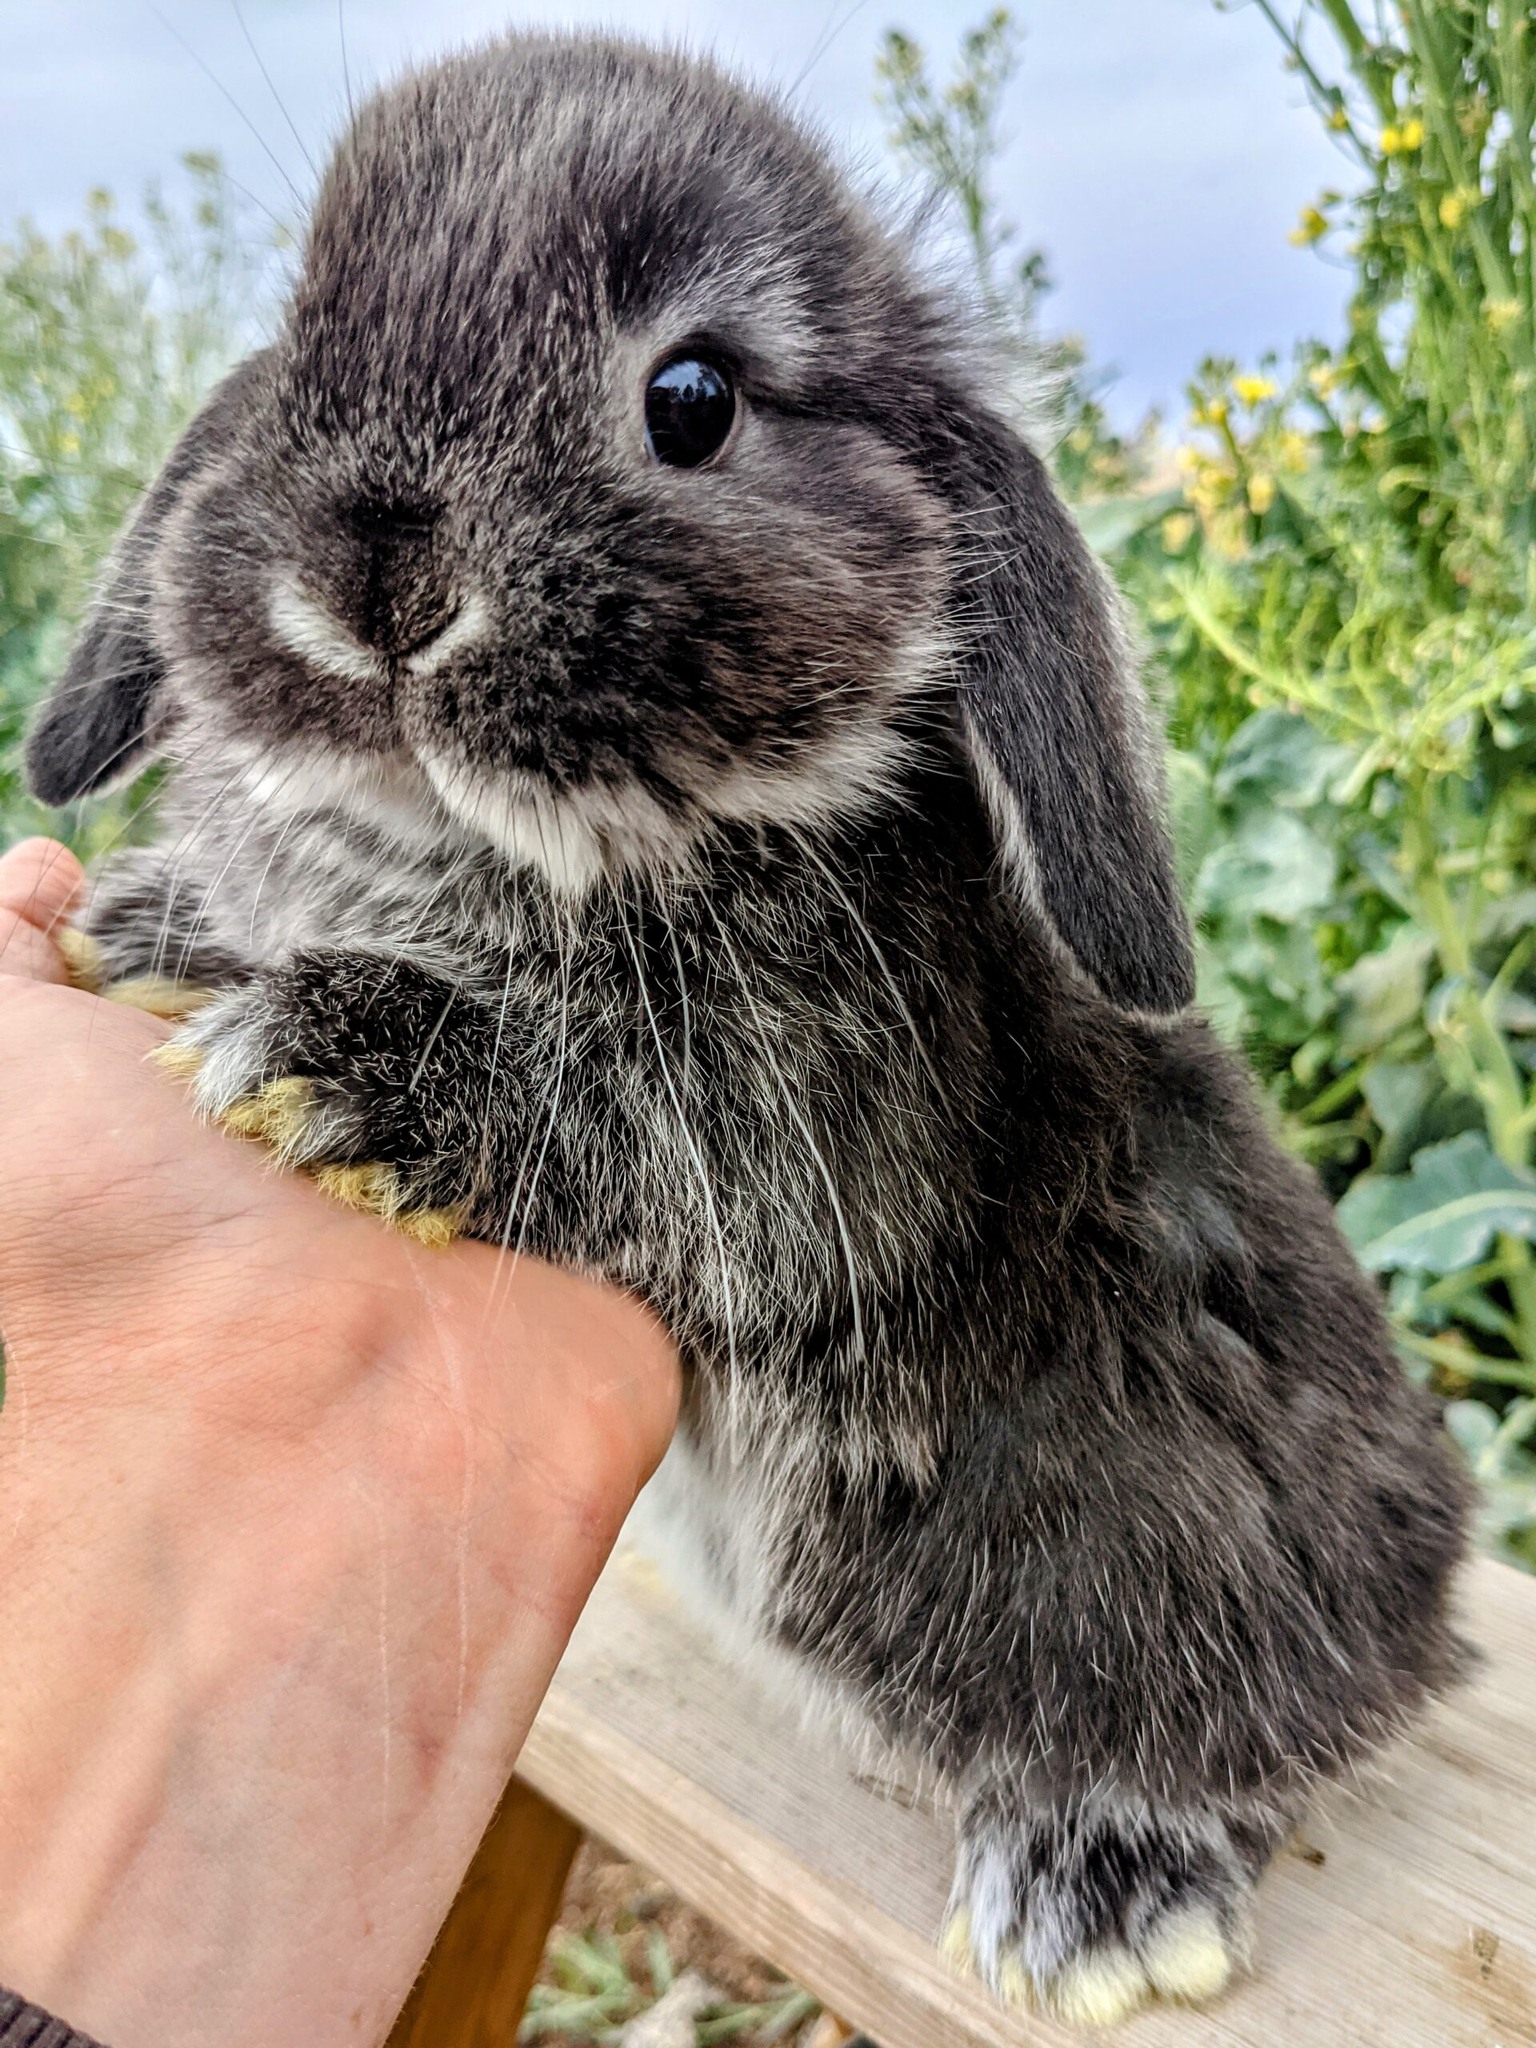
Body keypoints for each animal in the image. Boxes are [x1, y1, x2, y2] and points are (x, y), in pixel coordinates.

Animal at [26, 32, 1470, 2027]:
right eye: (302, 328)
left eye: (694, 397)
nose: (374, 575)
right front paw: (149, 925)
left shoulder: (801, 1128)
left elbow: (607, 1115)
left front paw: (335, 1062)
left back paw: (1101, 1895)